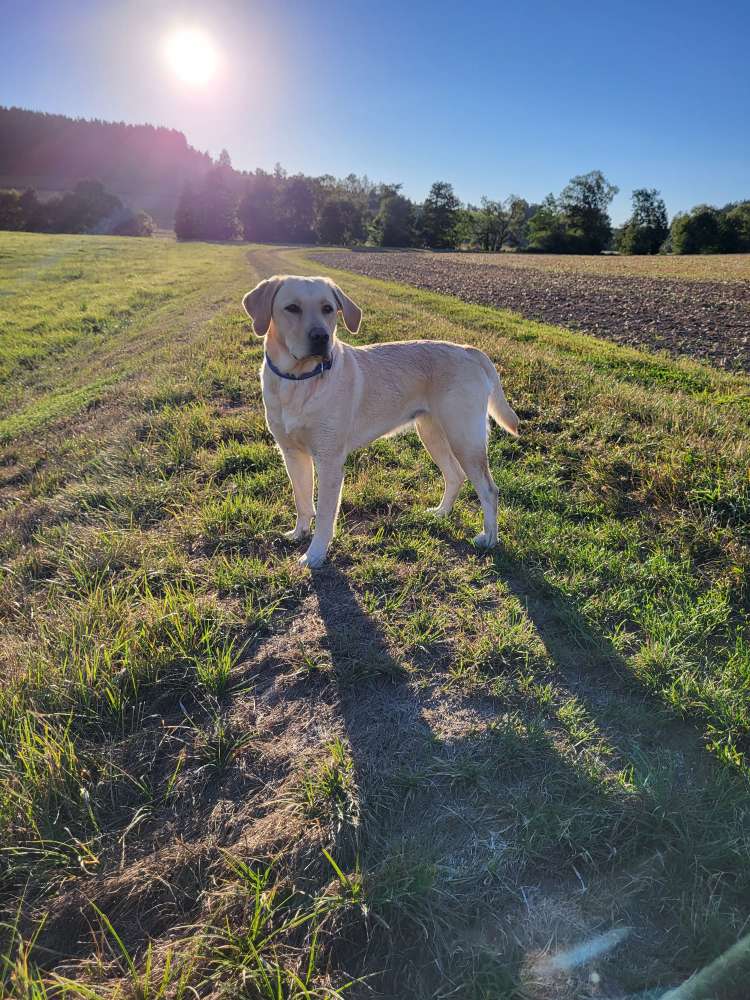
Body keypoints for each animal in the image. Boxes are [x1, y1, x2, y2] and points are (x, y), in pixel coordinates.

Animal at [244, 278, 520, 568]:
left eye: (328, 308)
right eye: (292, 308)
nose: (321, 338)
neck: (298, 381)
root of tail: (470, 351)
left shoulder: (329, 461)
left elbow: (325, 515)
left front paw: (315, 553)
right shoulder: (292, 454)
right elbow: (302, 500)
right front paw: (299, 533)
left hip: (464, 439)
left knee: (489, 490)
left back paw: (489, 539)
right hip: (432, 434)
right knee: (455, 475)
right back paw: (441, 512)